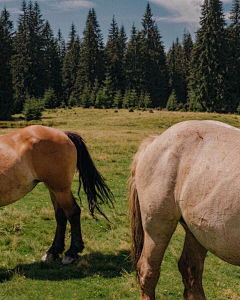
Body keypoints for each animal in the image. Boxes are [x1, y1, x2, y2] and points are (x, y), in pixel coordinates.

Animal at [0, 125, 113, 264]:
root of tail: (63, 133)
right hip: (54, 190)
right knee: (60, 215)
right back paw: (53, 251)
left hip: (61, 189)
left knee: (72, 212)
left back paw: (71, 253)